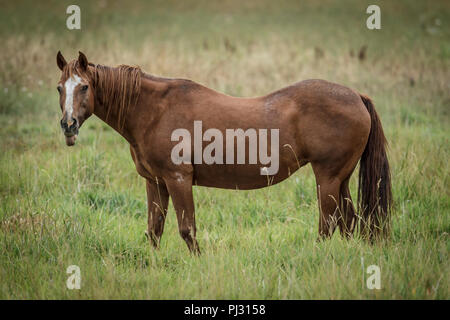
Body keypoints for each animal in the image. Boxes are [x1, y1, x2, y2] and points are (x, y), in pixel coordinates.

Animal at [56, 51, 392, 254]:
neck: (154, 110)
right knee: (348, 222)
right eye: (60, 88)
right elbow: (154, 230)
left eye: (84, 87)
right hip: (341, 179)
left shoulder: (178, 179)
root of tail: (356, 96)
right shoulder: (156, 182)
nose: (68, 124)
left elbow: (187, 229)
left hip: (328, 177)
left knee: (329, 223)